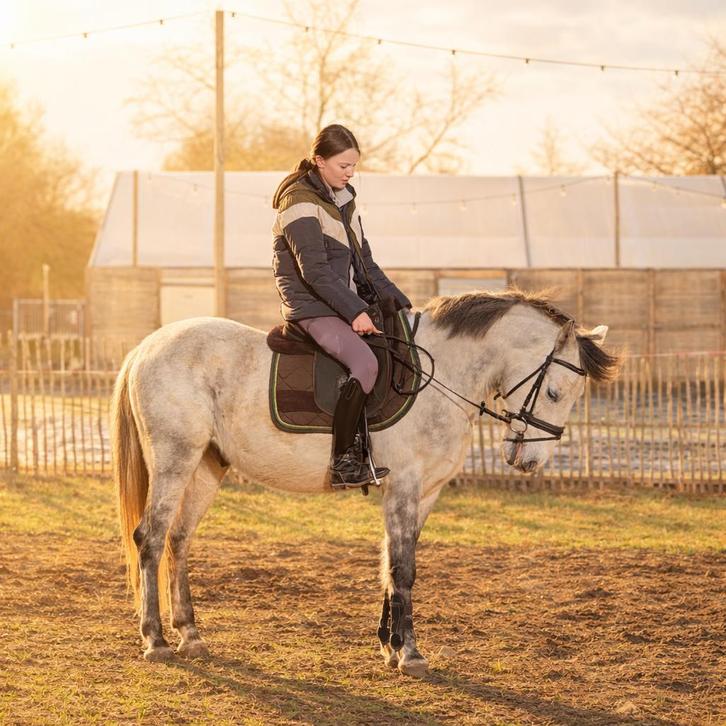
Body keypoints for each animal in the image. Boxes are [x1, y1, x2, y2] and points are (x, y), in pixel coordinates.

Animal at [111, 289, 619, 677]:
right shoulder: (405, 486)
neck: (441, 375)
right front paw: (409, 654)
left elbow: (392, 563)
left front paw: (388, 646)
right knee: (150, 538)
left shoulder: (425, 492)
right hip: (175, 459)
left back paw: (191, 635)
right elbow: (403, 568)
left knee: (178, 540)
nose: (528, 459)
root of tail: (145, 348)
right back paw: (156, 641)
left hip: (205, 467)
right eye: (553, 391)